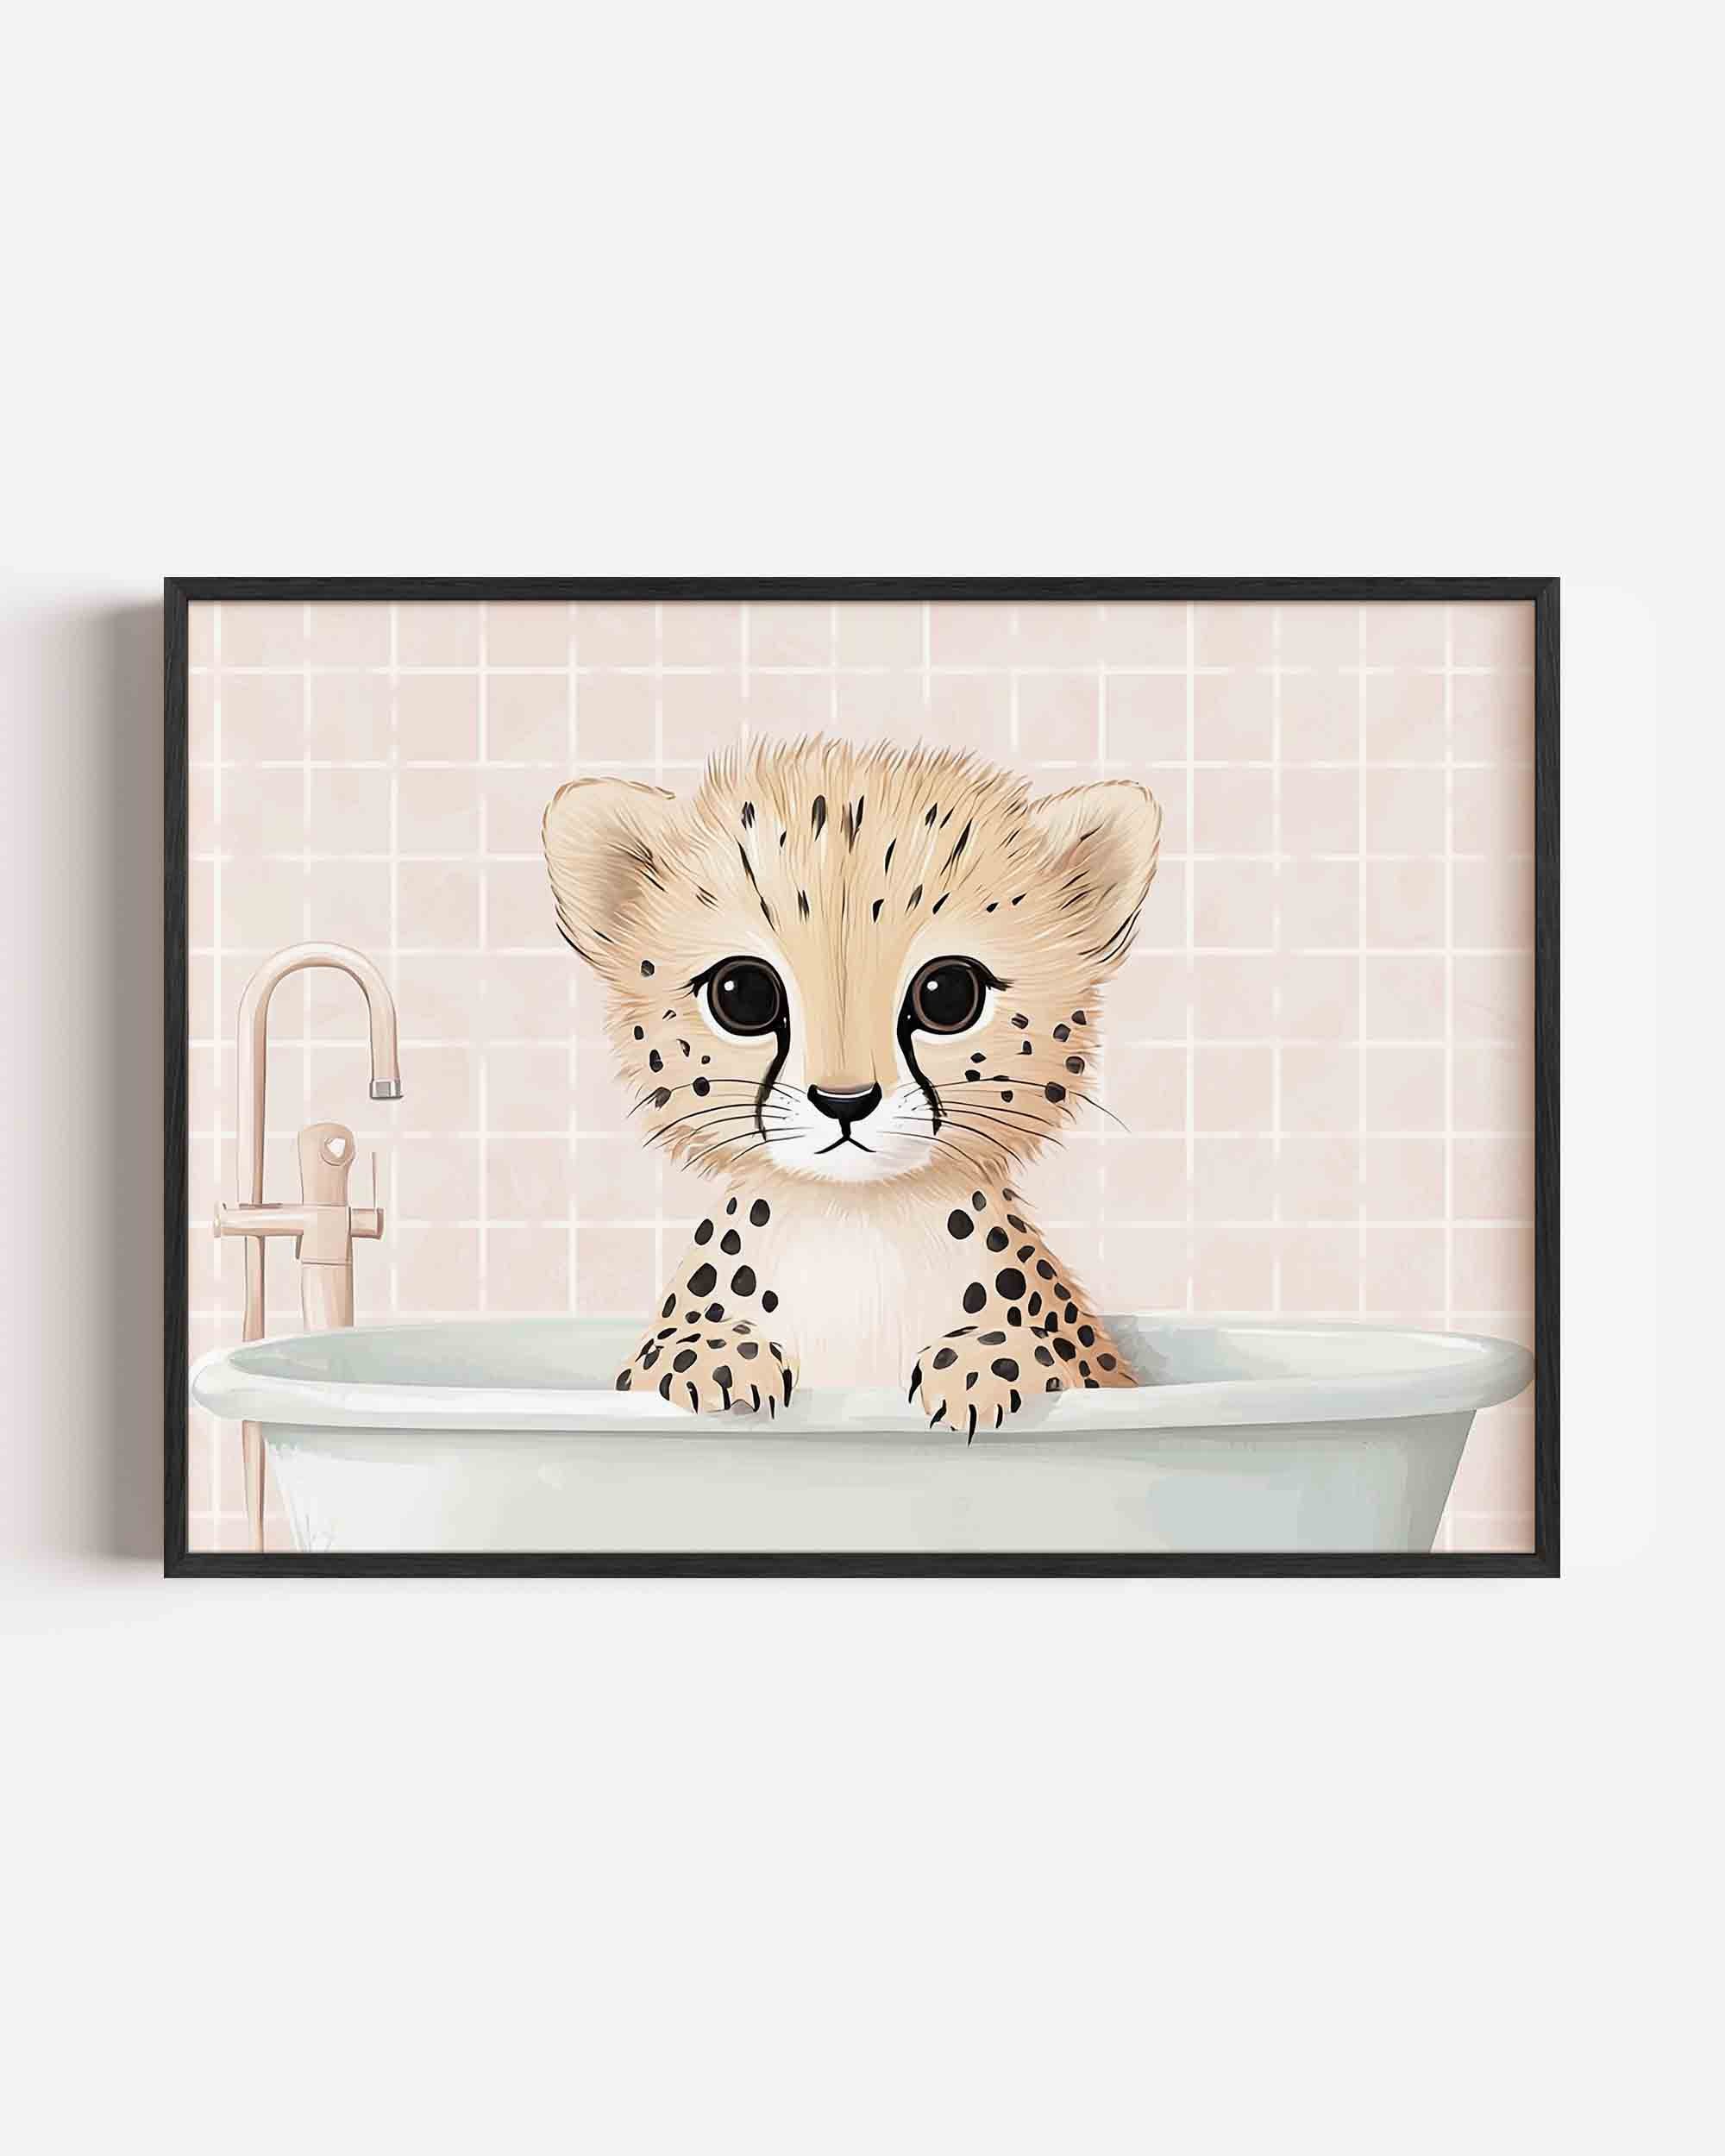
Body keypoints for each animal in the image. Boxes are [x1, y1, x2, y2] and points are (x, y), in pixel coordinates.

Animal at [542, 736, 1161, 1438]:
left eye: (949, 994)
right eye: (743, 994)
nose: (846, 1103)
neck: (855, 1221)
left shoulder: (1104, 1376)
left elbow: (1056, 1354)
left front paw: (987, 1360)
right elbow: (659, 1357)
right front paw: (714, 1353)